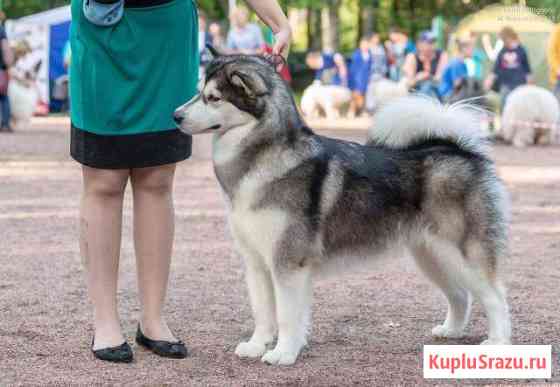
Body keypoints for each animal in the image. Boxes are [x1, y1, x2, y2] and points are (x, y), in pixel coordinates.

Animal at [174, 53, 512, 366]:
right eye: (198, 91)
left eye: (213, 98)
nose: (175, 115)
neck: (263, 160)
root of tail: (459, 150)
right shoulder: (256, 262)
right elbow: (263, 311)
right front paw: (258, 345)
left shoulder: (288, 262)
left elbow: (286, 315)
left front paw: (283, 353)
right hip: (432, 255)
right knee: (460, 295)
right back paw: (451, 330)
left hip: (462, 253)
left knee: (496, 297)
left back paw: (498, 341)